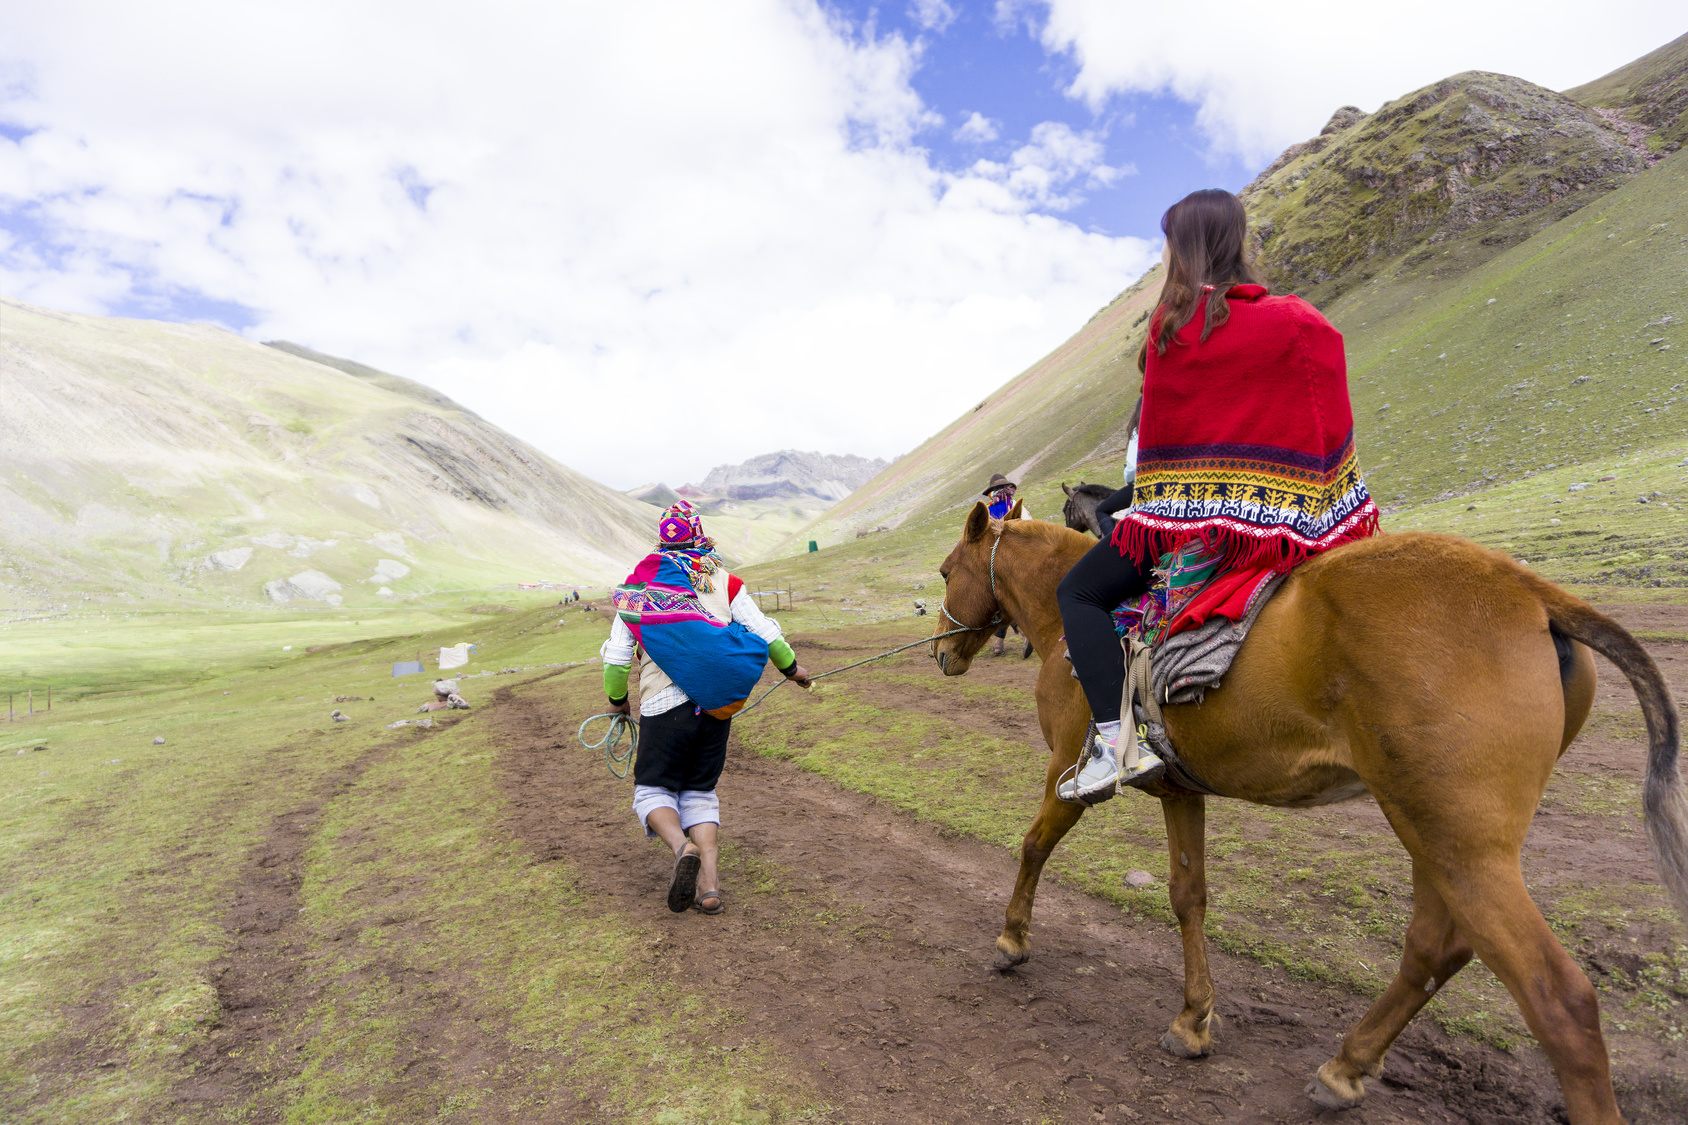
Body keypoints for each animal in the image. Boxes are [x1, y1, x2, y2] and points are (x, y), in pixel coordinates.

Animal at [931, 500, 1681, 1121]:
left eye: (944, 571)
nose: (941, 651)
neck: (1071, 621)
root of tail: (1532, 593)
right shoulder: (1182, 794)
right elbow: (1188, 897)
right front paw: (1193, 1021)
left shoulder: (1067, 770)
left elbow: (1034, 843)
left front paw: (1012, 940)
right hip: (1437, 838)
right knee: (1434, 948)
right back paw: (1345, 1068)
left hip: (1460, 847)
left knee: (1560, 1003)